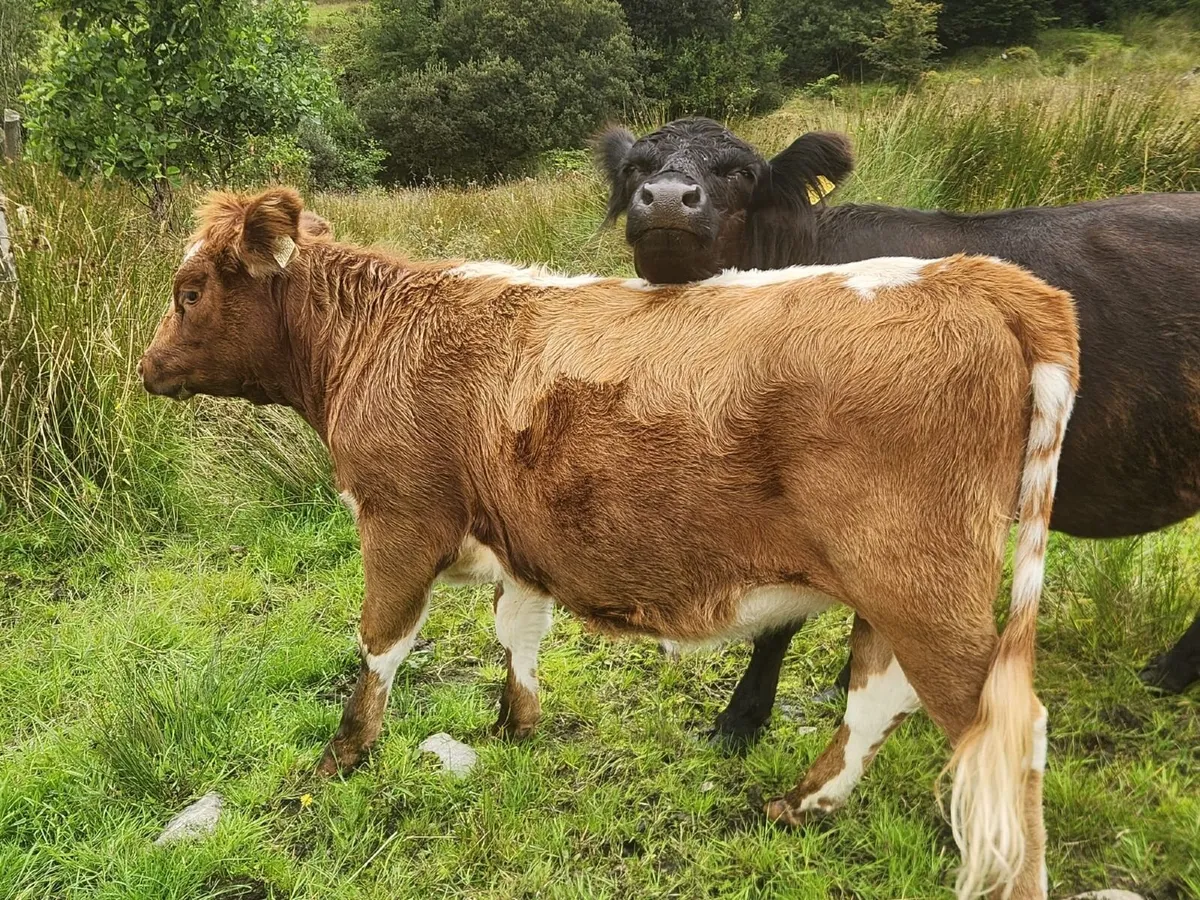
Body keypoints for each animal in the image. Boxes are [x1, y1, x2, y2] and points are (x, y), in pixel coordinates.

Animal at [140, 187, 1080, 900]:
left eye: (189, 290)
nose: (144, 368)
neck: (379, 335)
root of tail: (972, 275)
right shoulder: (515, 536)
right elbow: (516, 634)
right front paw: (514, 725)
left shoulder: (398, 519)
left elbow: (381, 645)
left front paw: (343, 756)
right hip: (894, 590)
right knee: (878, 700)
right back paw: (798, 806)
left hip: (920, 584)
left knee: (1003, 730)